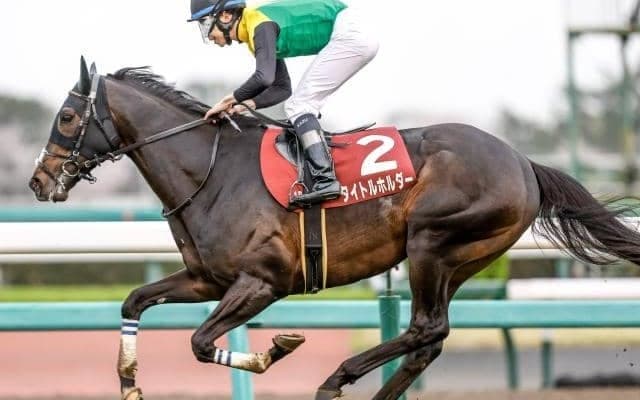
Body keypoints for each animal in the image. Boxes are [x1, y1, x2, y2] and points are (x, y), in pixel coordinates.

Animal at [29, 57, 640, 400]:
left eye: (66, 116)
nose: (39, 180)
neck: (210, 171)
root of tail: (522, 161)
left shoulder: (263, 281)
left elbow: (202, 343)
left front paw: (275, 351)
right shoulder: (206, 279)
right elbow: (133, 300)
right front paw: (129, 382)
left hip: (431, 242)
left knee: (425, 328)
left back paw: (337, 378)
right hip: (460, 259)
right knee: (430, 338)